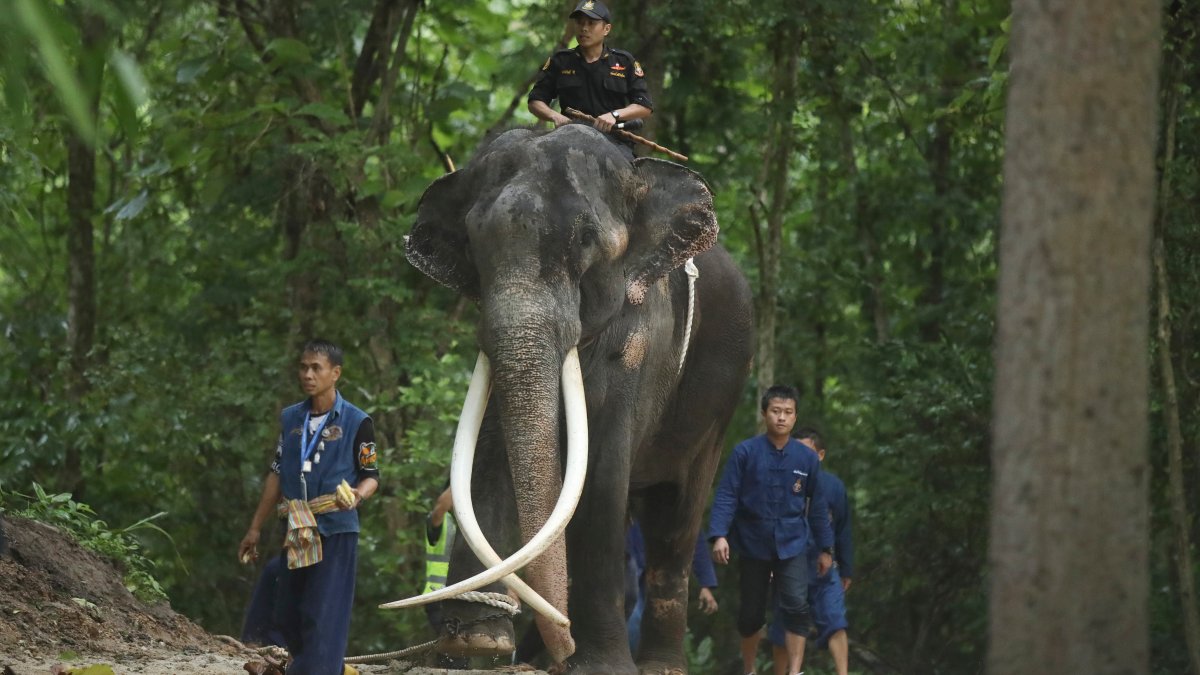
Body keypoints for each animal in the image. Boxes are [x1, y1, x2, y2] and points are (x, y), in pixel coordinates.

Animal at [390, 123, 753, 675]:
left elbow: (602, 470)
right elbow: (488, 457)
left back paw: (655, 665)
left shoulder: (642, 337)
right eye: (473, 243)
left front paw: (601, 665)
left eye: (585, 240)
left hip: (719, 403)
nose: (561, 642)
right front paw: (479, 642)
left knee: (675, 518)